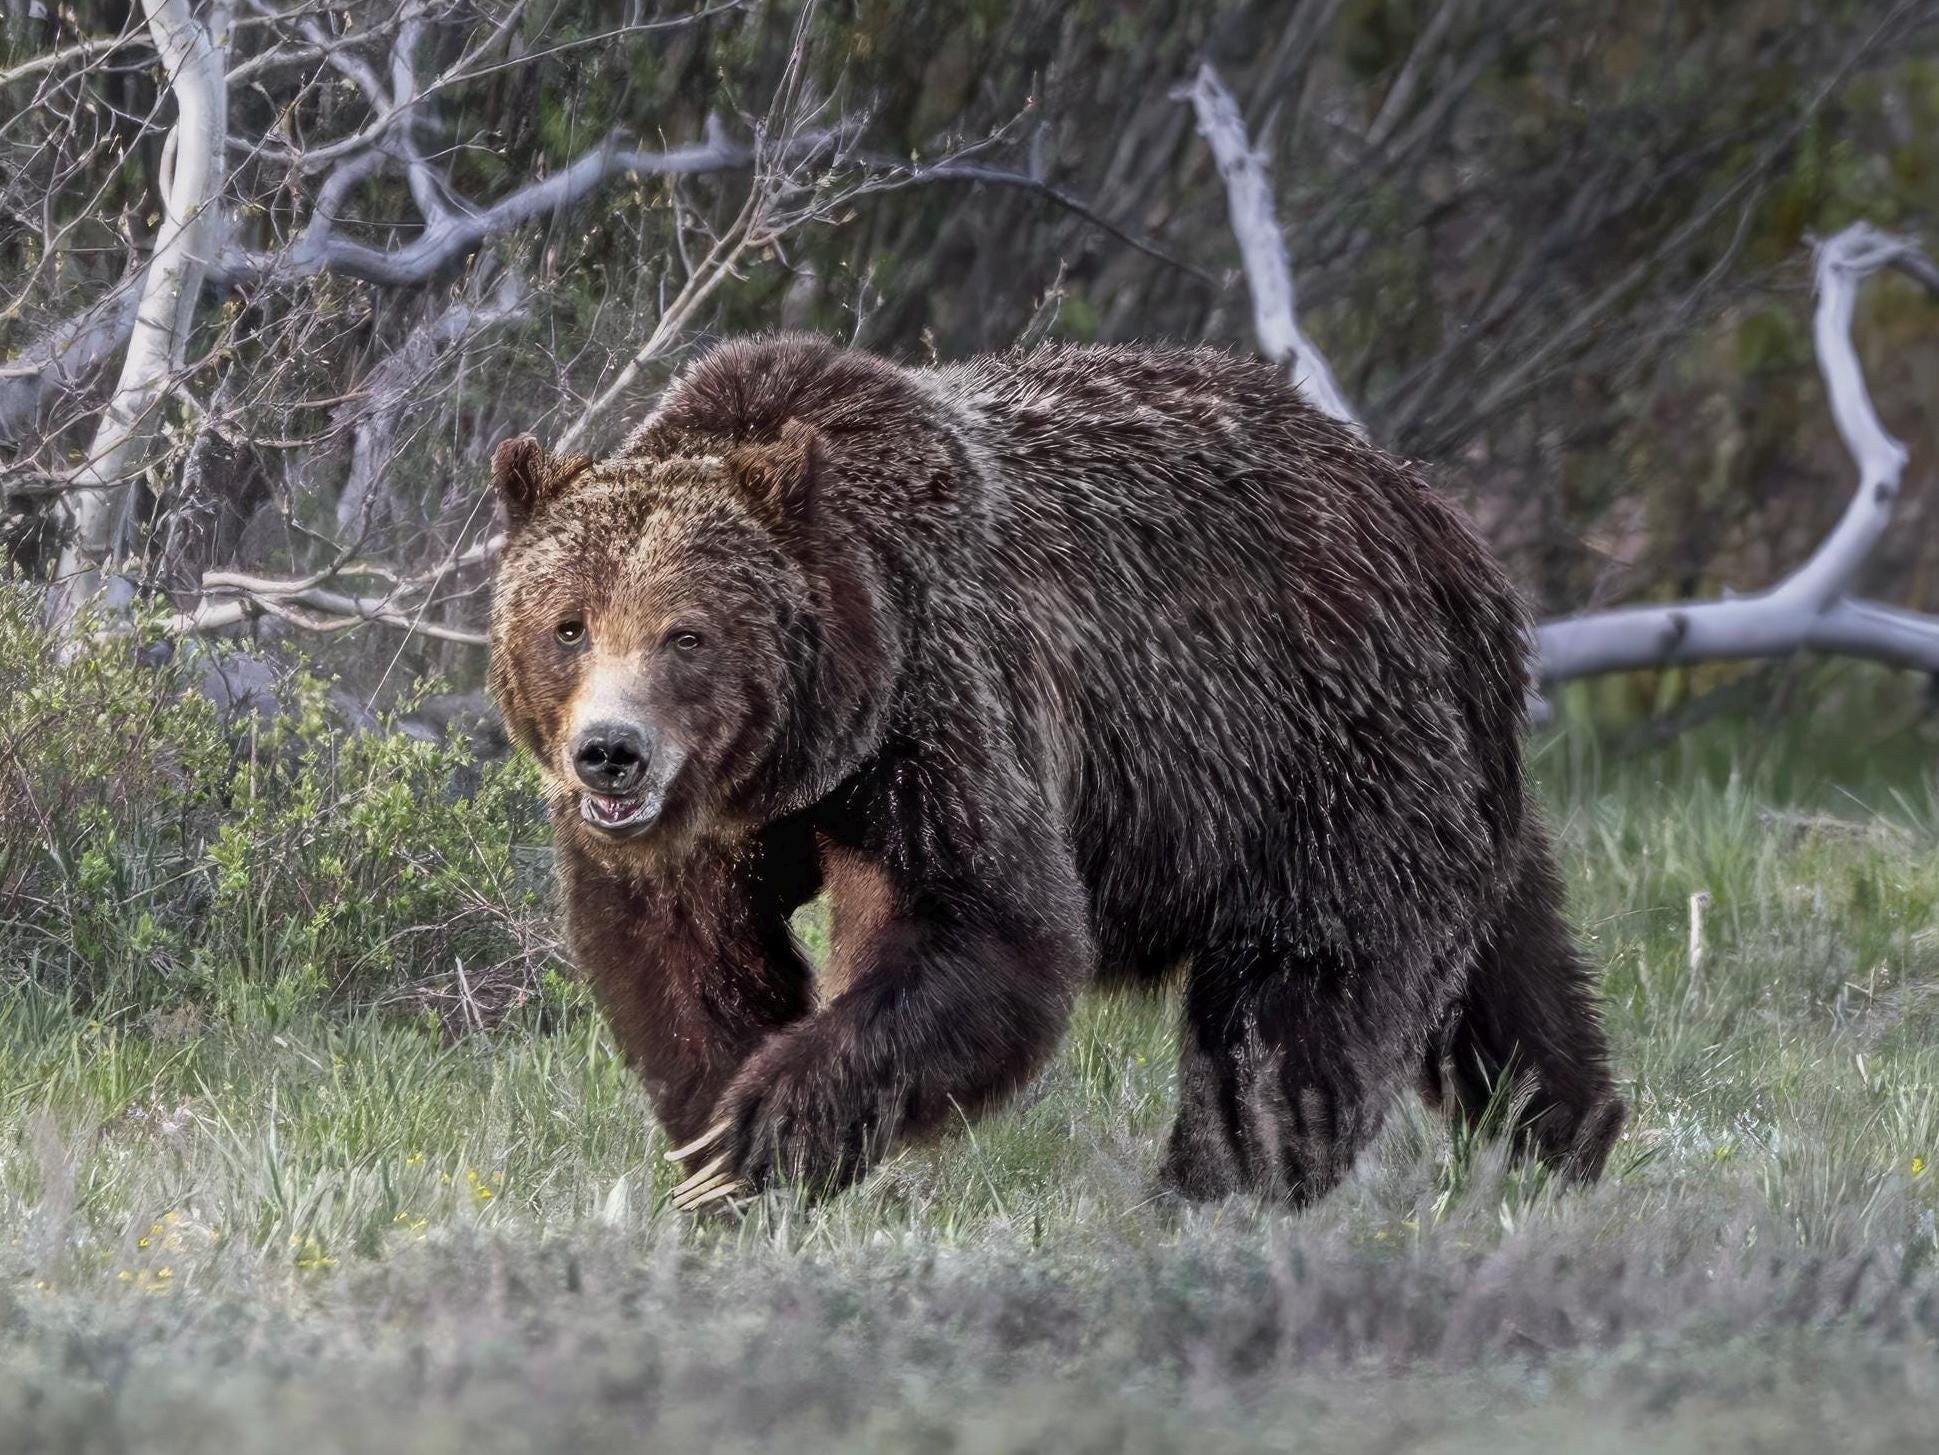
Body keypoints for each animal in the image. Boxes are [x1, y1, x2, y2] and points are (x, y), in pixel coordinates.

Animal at [486, 334, 1625, 1211]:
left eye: (687, 634)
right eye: (568, 626)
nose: (610, 750)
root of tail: (1436, 518)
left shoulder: (941, 716)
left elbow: (985, 928)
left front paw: (770, 1125)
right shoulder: (712, 821)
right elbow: (682, 950)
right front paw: (720, 1144)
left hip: (1325, 740)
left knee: (1303, 985)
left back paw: (1222, 1183)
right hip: (1447, 771)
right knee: (1510, 970)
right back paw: (1562, 1134)